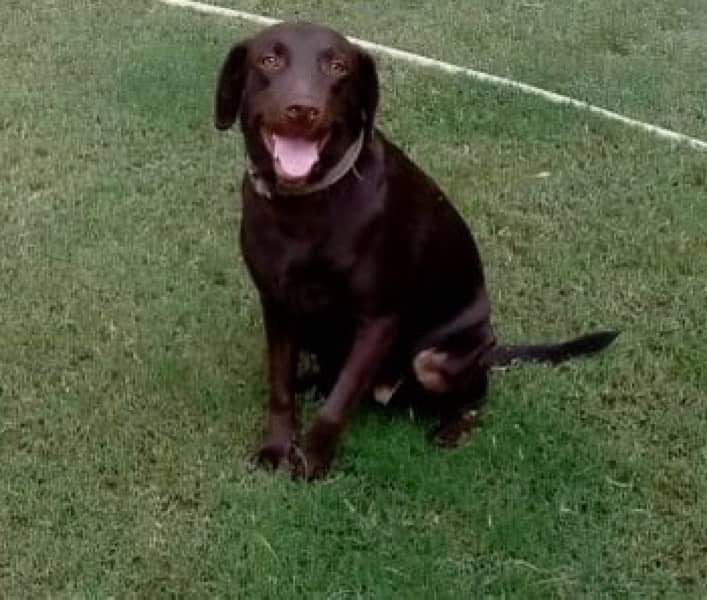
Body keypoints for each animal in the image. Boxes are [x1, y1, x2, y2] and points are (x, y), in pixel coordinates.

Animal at [213, 23, 616, 480]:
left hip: (435, 361)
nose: (303, 109)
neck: (303, 208)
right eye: (269, 60)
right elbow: (279, 386)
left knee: (474, 396)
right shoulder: (278, 305)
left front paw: (312, 459)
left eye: (338, 67)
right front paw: (278, 446)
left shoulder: (378, 320)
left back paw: (453, 427)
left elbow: (338, 404)